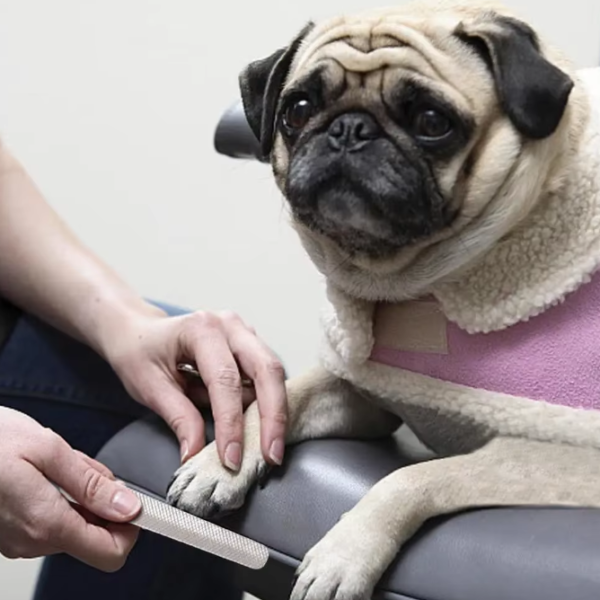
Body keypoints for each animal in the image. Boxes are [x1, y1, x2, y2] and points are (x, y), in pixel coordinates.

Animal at [168, 2, 600, 596]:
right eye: (298, 109)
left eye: (432, 122)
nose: (349, 129)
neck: (420, 286)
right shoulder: (363, 396)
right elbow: (281, 400)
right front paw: (222, 463)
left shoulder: (558, 456)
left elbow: (413, 477)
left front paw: (343, 555)